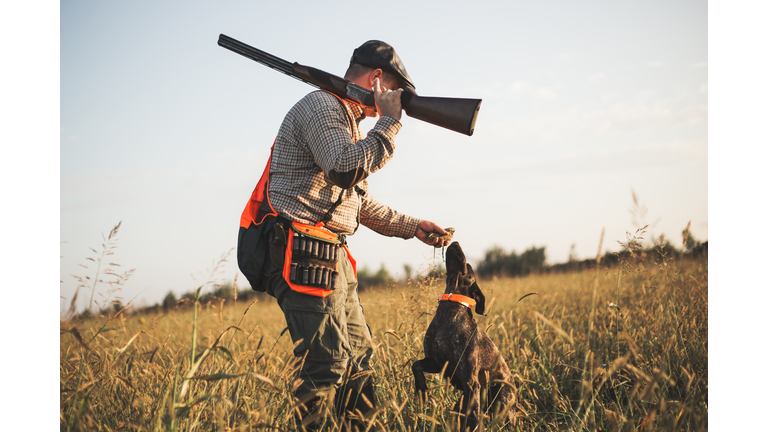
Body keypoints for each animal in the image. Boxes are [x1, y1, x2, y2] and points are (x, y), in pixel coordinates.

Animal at [414, 241, 516, 430]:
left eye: (468, 267)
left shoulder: (469, 379)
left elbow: (474, 417)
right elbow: (415, 365)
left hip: (502, 401)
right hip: (460, 406)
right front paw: (421, 389)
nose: (454, 242)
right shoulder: (437, 363)